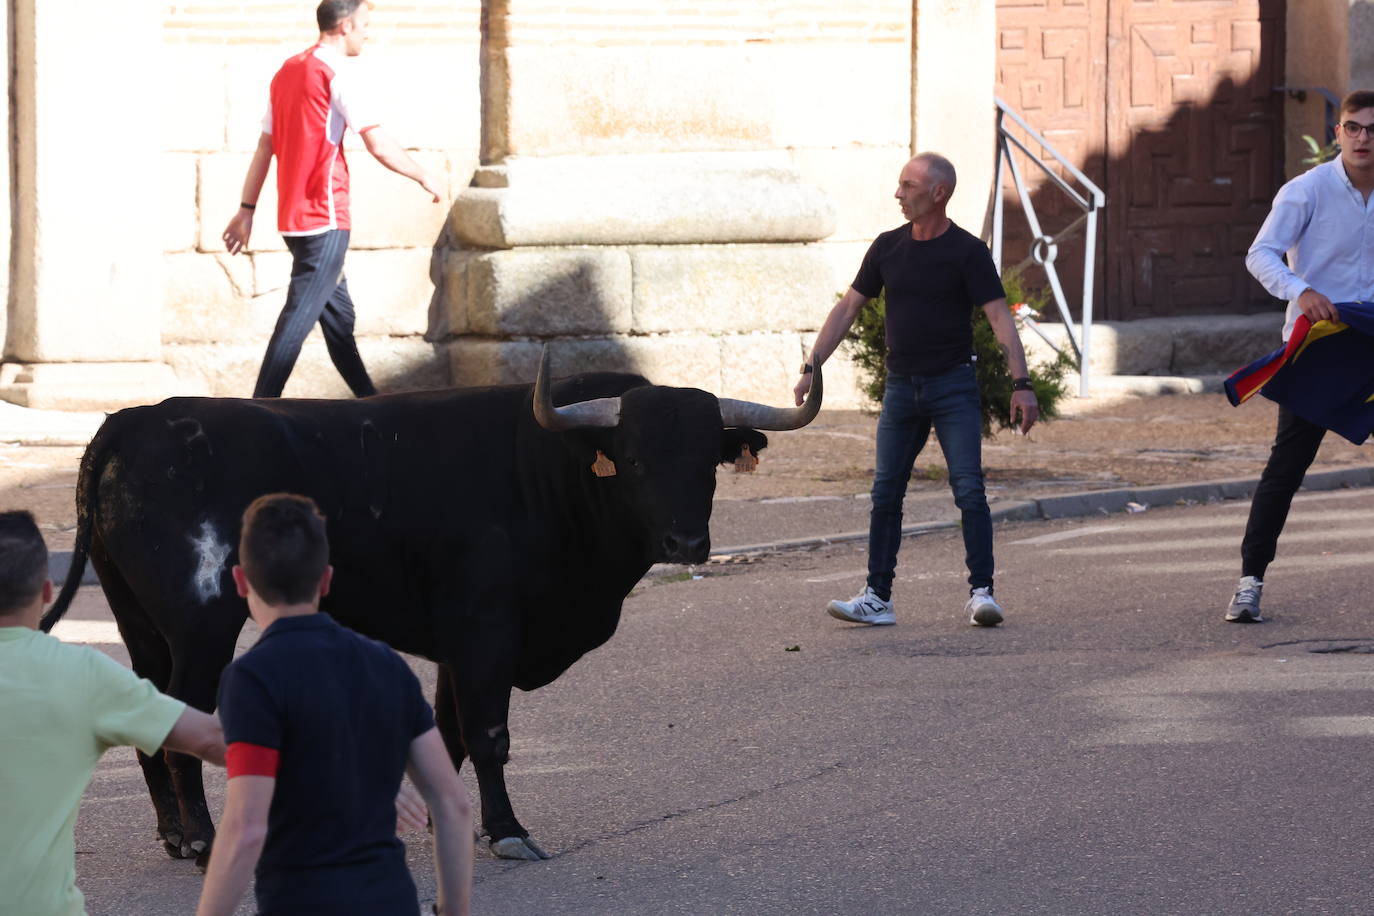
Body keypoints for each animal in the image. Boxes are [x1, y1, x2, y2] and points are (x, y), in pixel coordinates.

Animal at [40, 354, 813, 862]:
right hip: (201, 624)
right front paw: (508, 832)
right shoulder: (486, 632)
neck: (552, 470)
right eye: (635, 459)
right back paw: (201, 837)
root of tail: (136, 421)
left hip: (140, 621)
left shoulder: (454, 646)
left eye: (708, 462)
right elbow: (489, 735)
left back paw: (176, 834)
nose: (687, 542)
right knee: (178, 717)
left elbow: (448, 736)